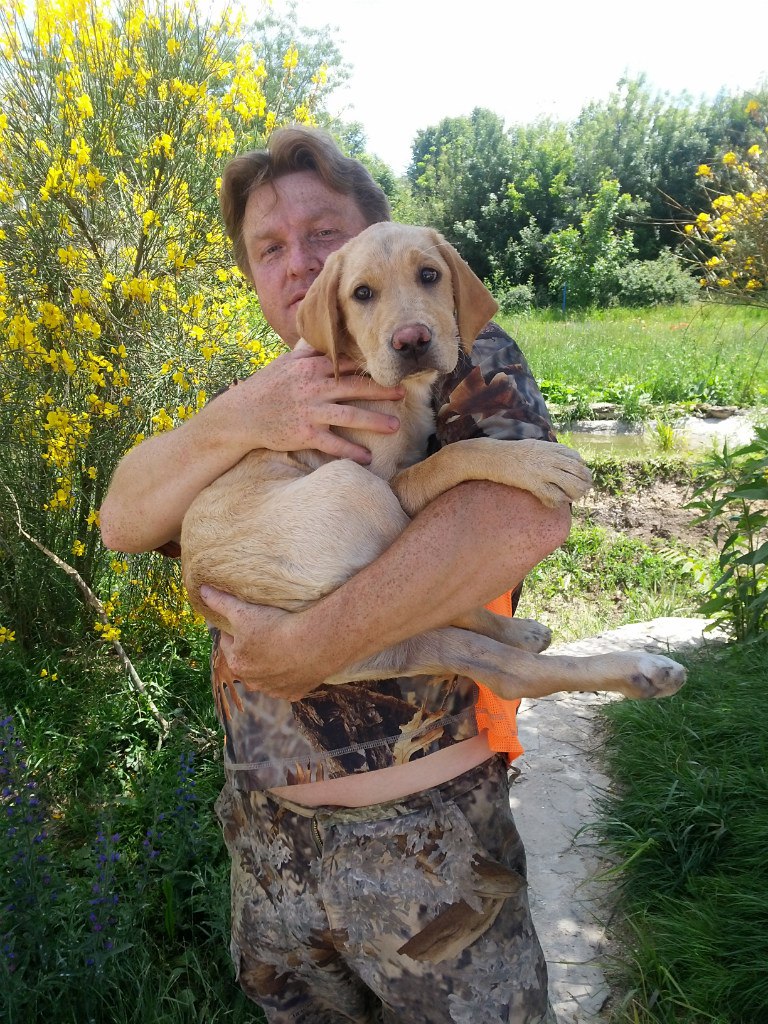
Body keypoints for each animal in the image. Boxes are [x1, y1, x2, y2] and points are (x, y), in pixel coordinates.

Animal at [181, 222, 686, 704]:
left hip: (385, 643)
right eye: (361, 293)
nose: (412, 341)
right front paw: (537, 463)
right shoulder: (385, 477)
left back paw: (605, 661)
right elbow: (453, 454)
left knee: (501, 667)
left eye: (429, 275)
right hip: (355, 489)